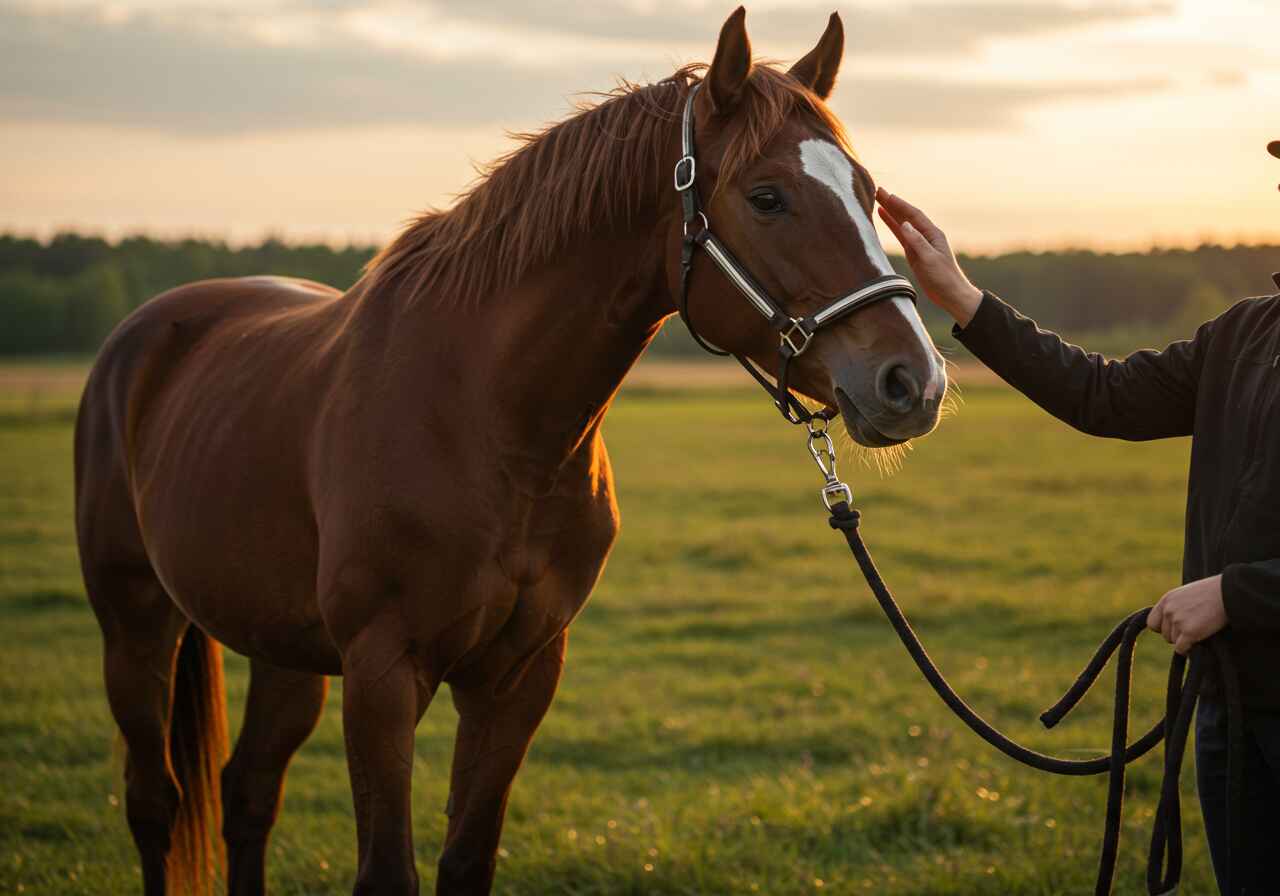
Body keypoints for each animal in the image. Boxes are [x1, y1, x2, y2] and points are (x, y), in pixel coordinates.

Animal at [74, 7, 947, 894]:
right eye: (768, 198)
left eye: (868, 193)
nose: (912, 380)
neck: (491, 429)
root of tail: (148, 332)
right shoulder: (382, 673)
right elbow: (388, 870)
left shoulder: (520, 675)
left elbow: (467, 858)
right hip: (134, 620)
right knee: (154, 801)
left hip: (283, 650)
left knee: (247, 792)